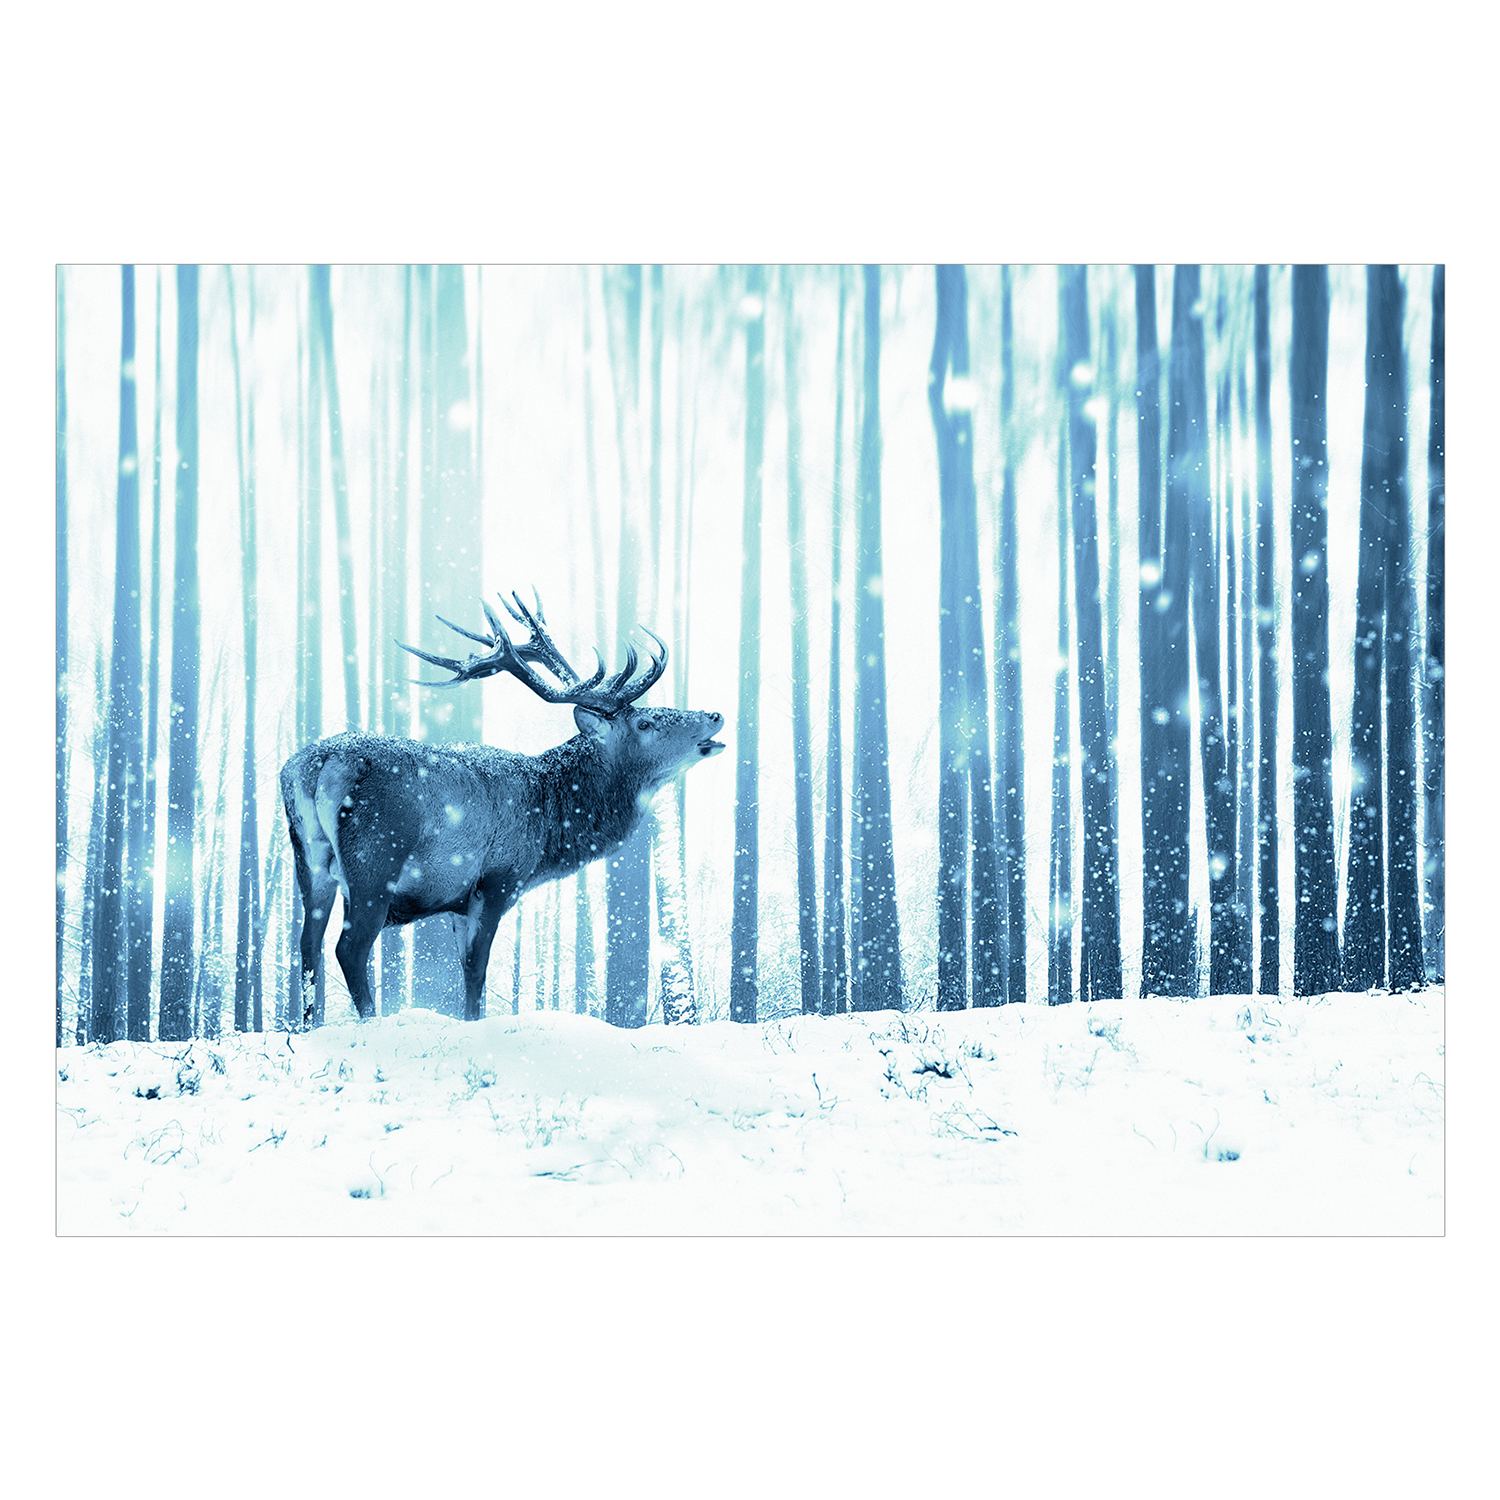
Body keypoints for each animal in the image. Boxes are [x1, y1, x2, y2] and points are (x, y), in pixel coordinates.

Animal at [279, 591, 724, 1026]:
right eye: (645, 723)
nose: (715, 715)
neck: (548, 827)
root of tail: (317, 764)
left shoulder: (457, 901)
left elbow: (465, 969)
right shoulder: (498, 878)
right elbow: (477, 969)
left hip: (310, 861)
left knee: (308, 946)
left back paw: (309, 1026)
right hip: (375, 859)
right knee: (350, 947)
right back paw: (370, 1024)